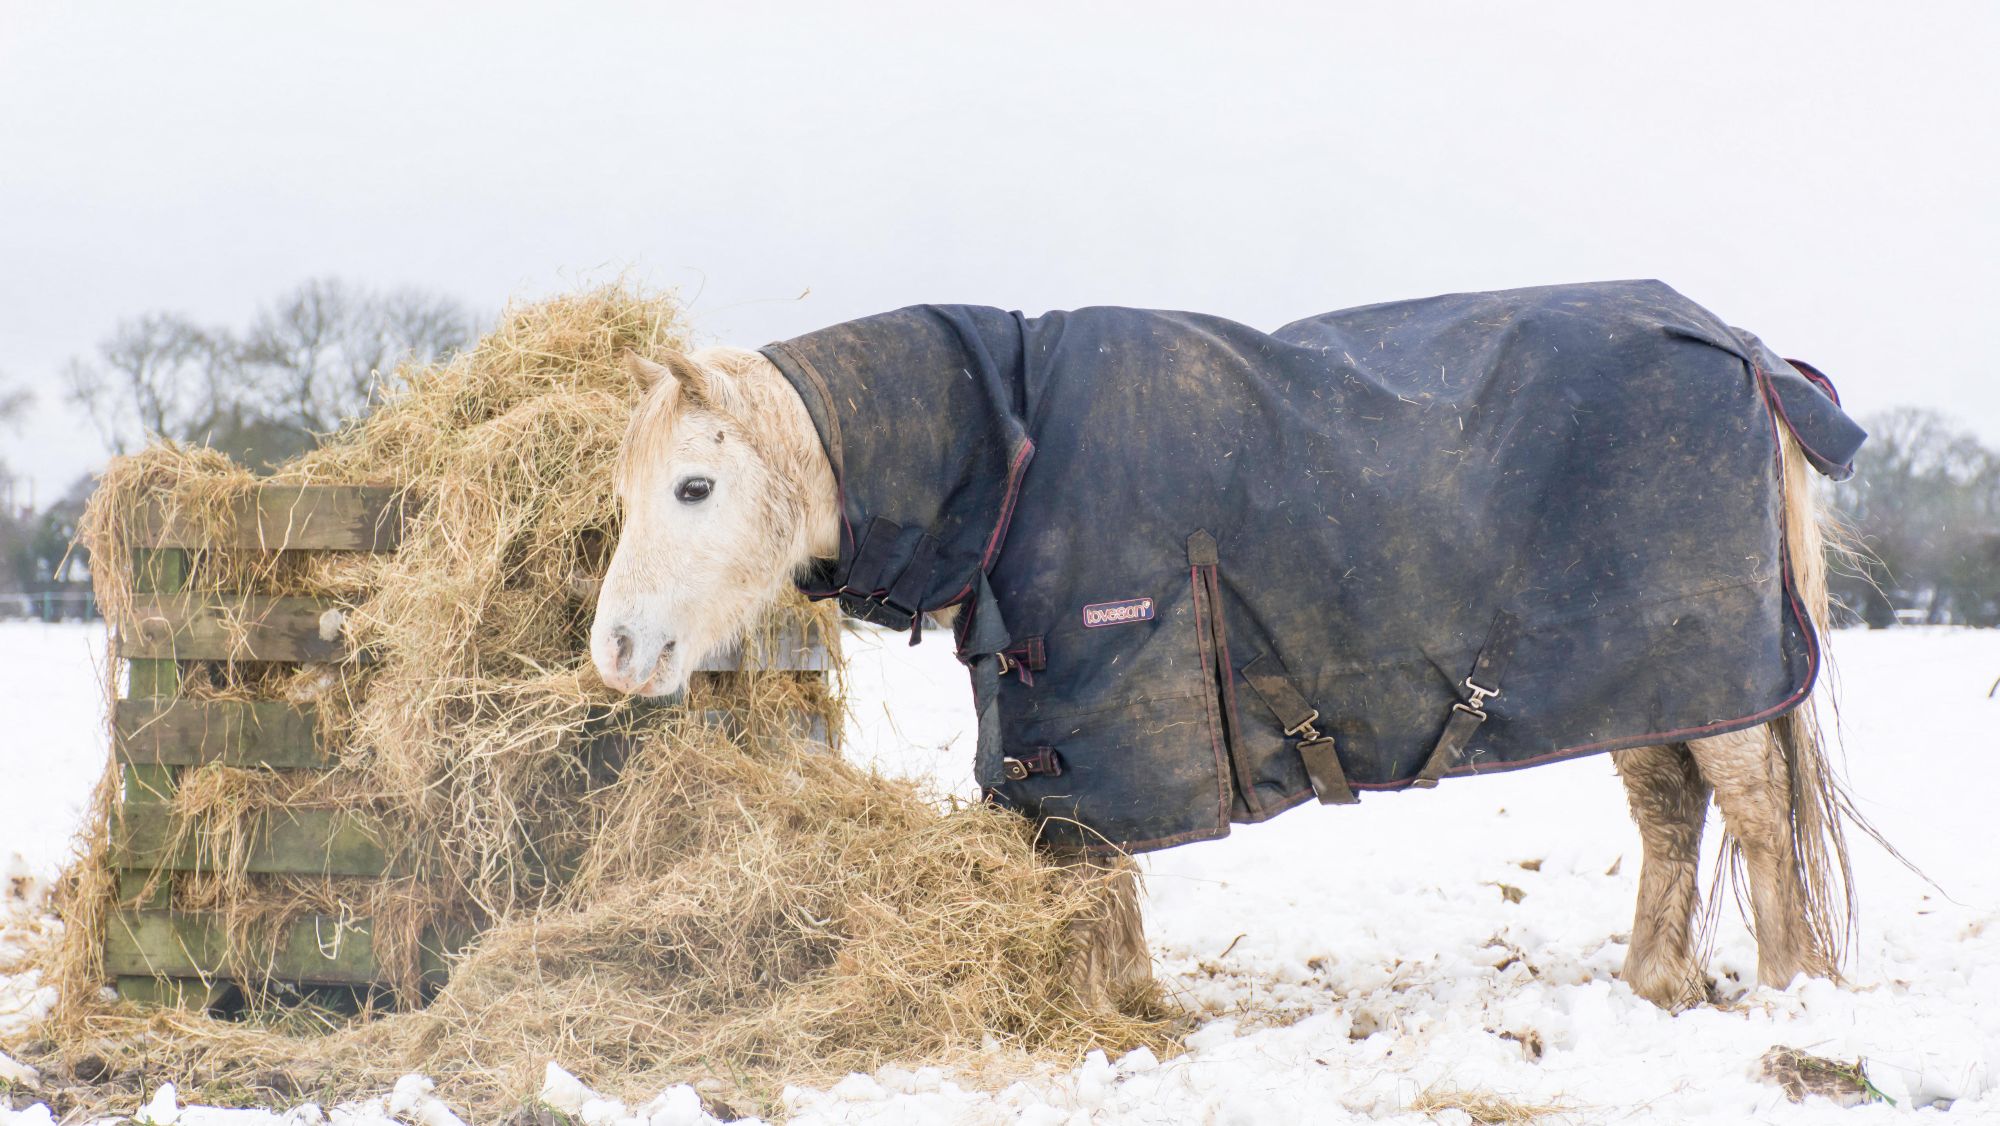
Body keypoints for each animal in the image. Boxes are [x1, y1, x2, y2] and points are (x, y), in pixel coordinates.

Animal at [589, 287, 1861, 1015]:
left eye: (694, 486)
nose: (615, 650)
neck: (1006, 444)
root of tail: (1735, 348)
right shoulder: (1055, 717)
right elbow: (1088, 865)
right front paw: (1121, 996)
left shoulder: (1106, 706)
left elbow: (1094, 855)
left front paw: (1106, 1006)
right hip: (1638, 682)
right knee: (1669, 805)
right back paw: (1659, 980)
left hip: (1708, 667)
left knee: (1750, 804)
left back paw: (1790, 987)